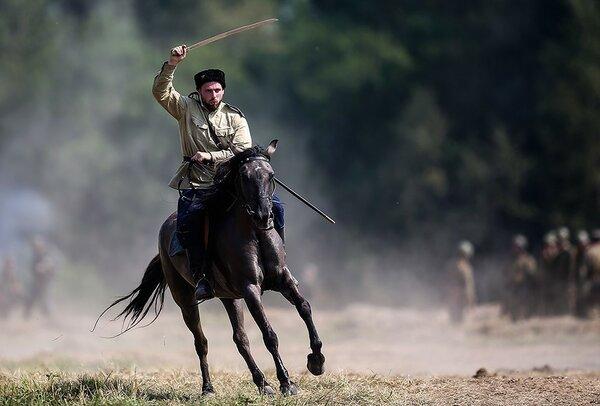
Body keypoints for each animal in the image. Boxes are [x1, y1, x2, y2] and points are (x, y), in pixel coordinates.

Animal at [98, 141, 324, 394]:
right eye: (244, 177)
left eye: (271, 175)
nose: (263, 215)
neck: (255, 234)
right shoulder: (250, 289)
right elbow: (269, 335)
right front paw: (286, 382)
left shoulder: (283, 280)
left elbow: (304, 308)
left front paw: (316, 361)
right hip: (185, 299)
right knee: (202, 342)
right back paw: (208, 387)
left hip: (229, 297)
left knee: (240, 339)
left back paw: (261, 382)